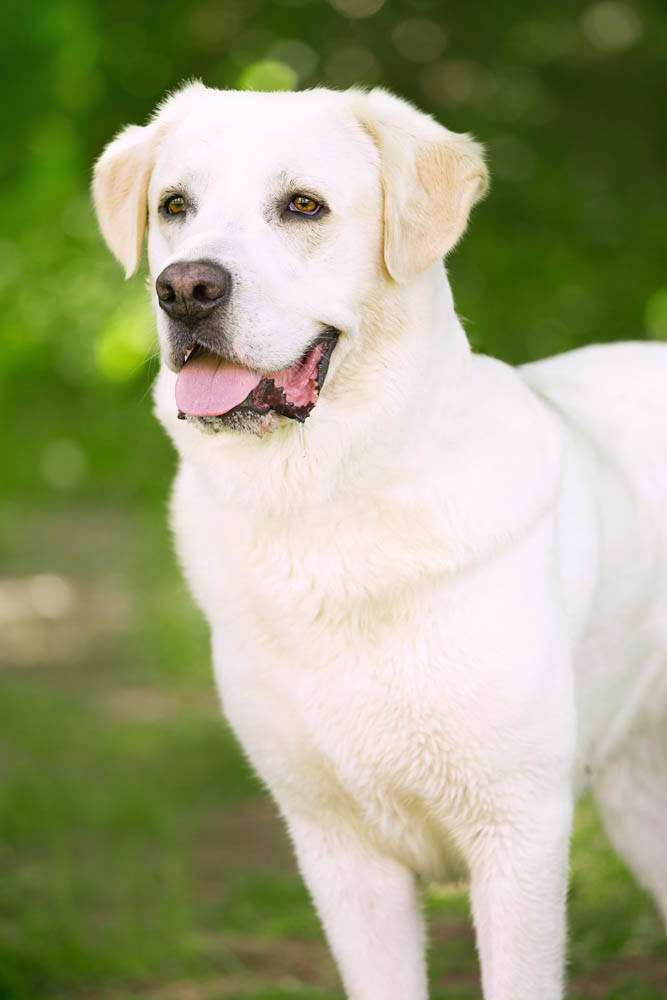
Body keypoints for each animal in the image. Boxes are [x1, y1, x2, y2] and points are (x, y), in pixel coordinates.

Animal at [90, 84, 667, 1000]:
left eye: (303, 206)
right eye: (173, 207)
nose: (184, 289)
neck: (323, 509)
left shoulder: (518, 835)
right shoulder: (335, 846)